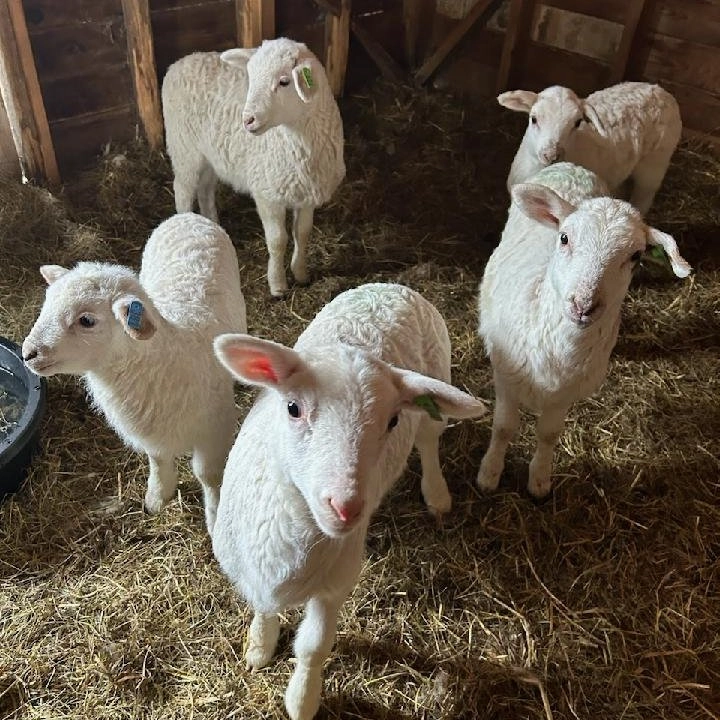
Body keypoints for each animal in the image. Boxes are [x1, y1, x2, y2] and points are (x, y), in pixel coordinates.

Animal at [21, 213, 247, 533]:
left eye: (87, 320)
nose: (28, 353)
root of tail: (187, 215)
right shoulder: (151, 429)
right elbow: (158, 459)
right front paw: (157, 497)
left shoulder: (214, 428)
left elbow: (210, 476)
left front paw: (216, 520)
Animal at [162, 37, 346, 298]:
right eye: (251, 77)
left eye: (284, 81)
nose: (247, 120)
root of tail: (181, 62)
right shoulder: (267, 194)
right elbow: (278, 240)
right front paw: (277, 285)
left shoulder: (307, 192)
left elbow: (302, 233)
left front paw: (301, 274)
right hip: (184, 148)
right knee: (183, 190)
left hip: (210, 156)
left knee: (205, 189)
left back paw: (214, 227)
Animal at [211, 282, 486, 720]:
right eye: (292, 407)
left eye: (392, 421)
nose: (346, 507)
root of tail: (390, 286)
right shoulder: (249, 565)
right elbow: (262, 605)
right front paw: (259, 646)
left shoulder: (337, 582)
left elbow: (313, 647)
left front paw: (302, 700)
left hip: (435, 384)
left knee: (428, 442)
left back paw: (437, 495)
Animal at [477, 162, 691, 499]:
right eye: (564, 238)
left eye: (635, 256)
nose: (583, 305)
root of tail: (571, 166)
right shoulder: (505, 375)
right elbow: (503, 428)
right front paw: (489, 474)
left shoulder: (566, 392)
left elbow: (549, 434)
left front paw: (539, 481)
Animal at [498, 82, 682, 214]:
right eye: (534, 119)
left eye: (577, 123)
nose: (551, 155)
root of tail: (660, 90)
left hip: (656, 161)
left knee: (645, 193)